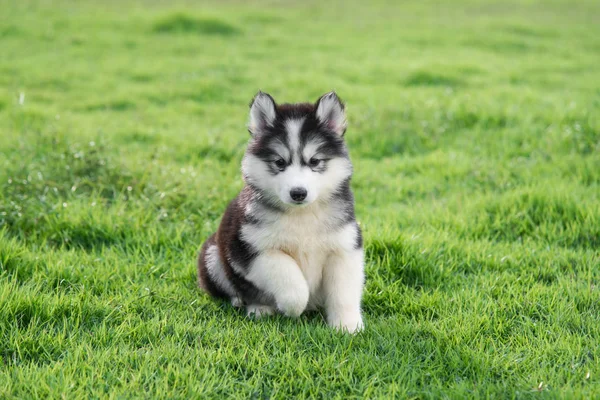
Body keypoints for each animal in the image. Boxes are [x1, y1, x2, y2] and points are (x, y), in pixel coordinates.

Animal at [199, 92, 364, 332]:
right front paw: (291, 308)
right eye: (279, 162)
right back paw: (256, 306)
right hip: (212, 255)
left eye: (315, 161)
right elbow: (291, 280)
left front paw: (347, 326)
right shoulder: (251, 249)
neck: (302, 216)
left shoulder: (345, 246)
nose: (298, 193)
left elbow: (344, 292)